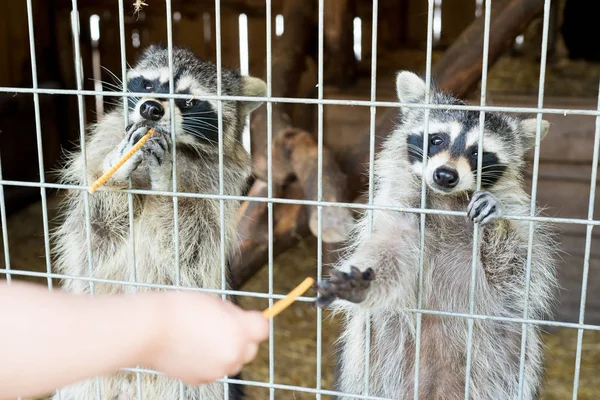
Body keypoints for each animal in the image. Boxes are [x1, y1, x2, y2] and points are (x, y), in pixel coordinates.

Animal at [51, 44, 268, 400]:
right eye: (150, 84)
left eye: (190, 100)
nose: (151, 109)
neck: (180, 148)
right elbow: (95, 233)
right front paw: (116, 171)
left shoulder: (214, 203)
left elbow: (187, 250)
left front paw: (168, 183)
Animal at [316, 72, 560, 400]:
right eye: (437, 139)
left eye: (478, 153)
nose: (445, 175)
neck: (448, 201)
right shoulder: (403, 209)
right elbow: (391, 249)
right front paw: (364, 277)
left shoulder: (519, 225)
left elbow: (516, 265)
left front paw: (495, 217)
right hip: (376, 353)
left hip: (503, 358)